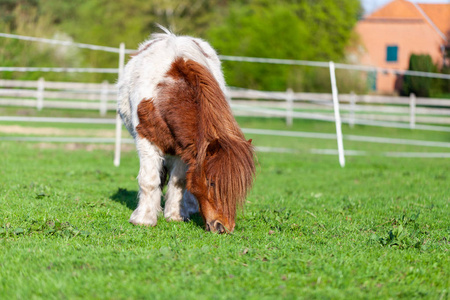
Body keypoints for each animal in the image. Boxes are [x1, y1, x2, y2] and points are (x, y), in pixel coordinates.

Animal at [118, 28, 255, 234]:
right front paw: (144, 219)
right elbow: (149, 180)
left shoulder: (184, 148)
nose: (223, 227)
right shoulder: (146, 139)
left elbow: (180, 181)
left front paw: (175, 215)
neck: (166, 91)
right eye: (211, 182)